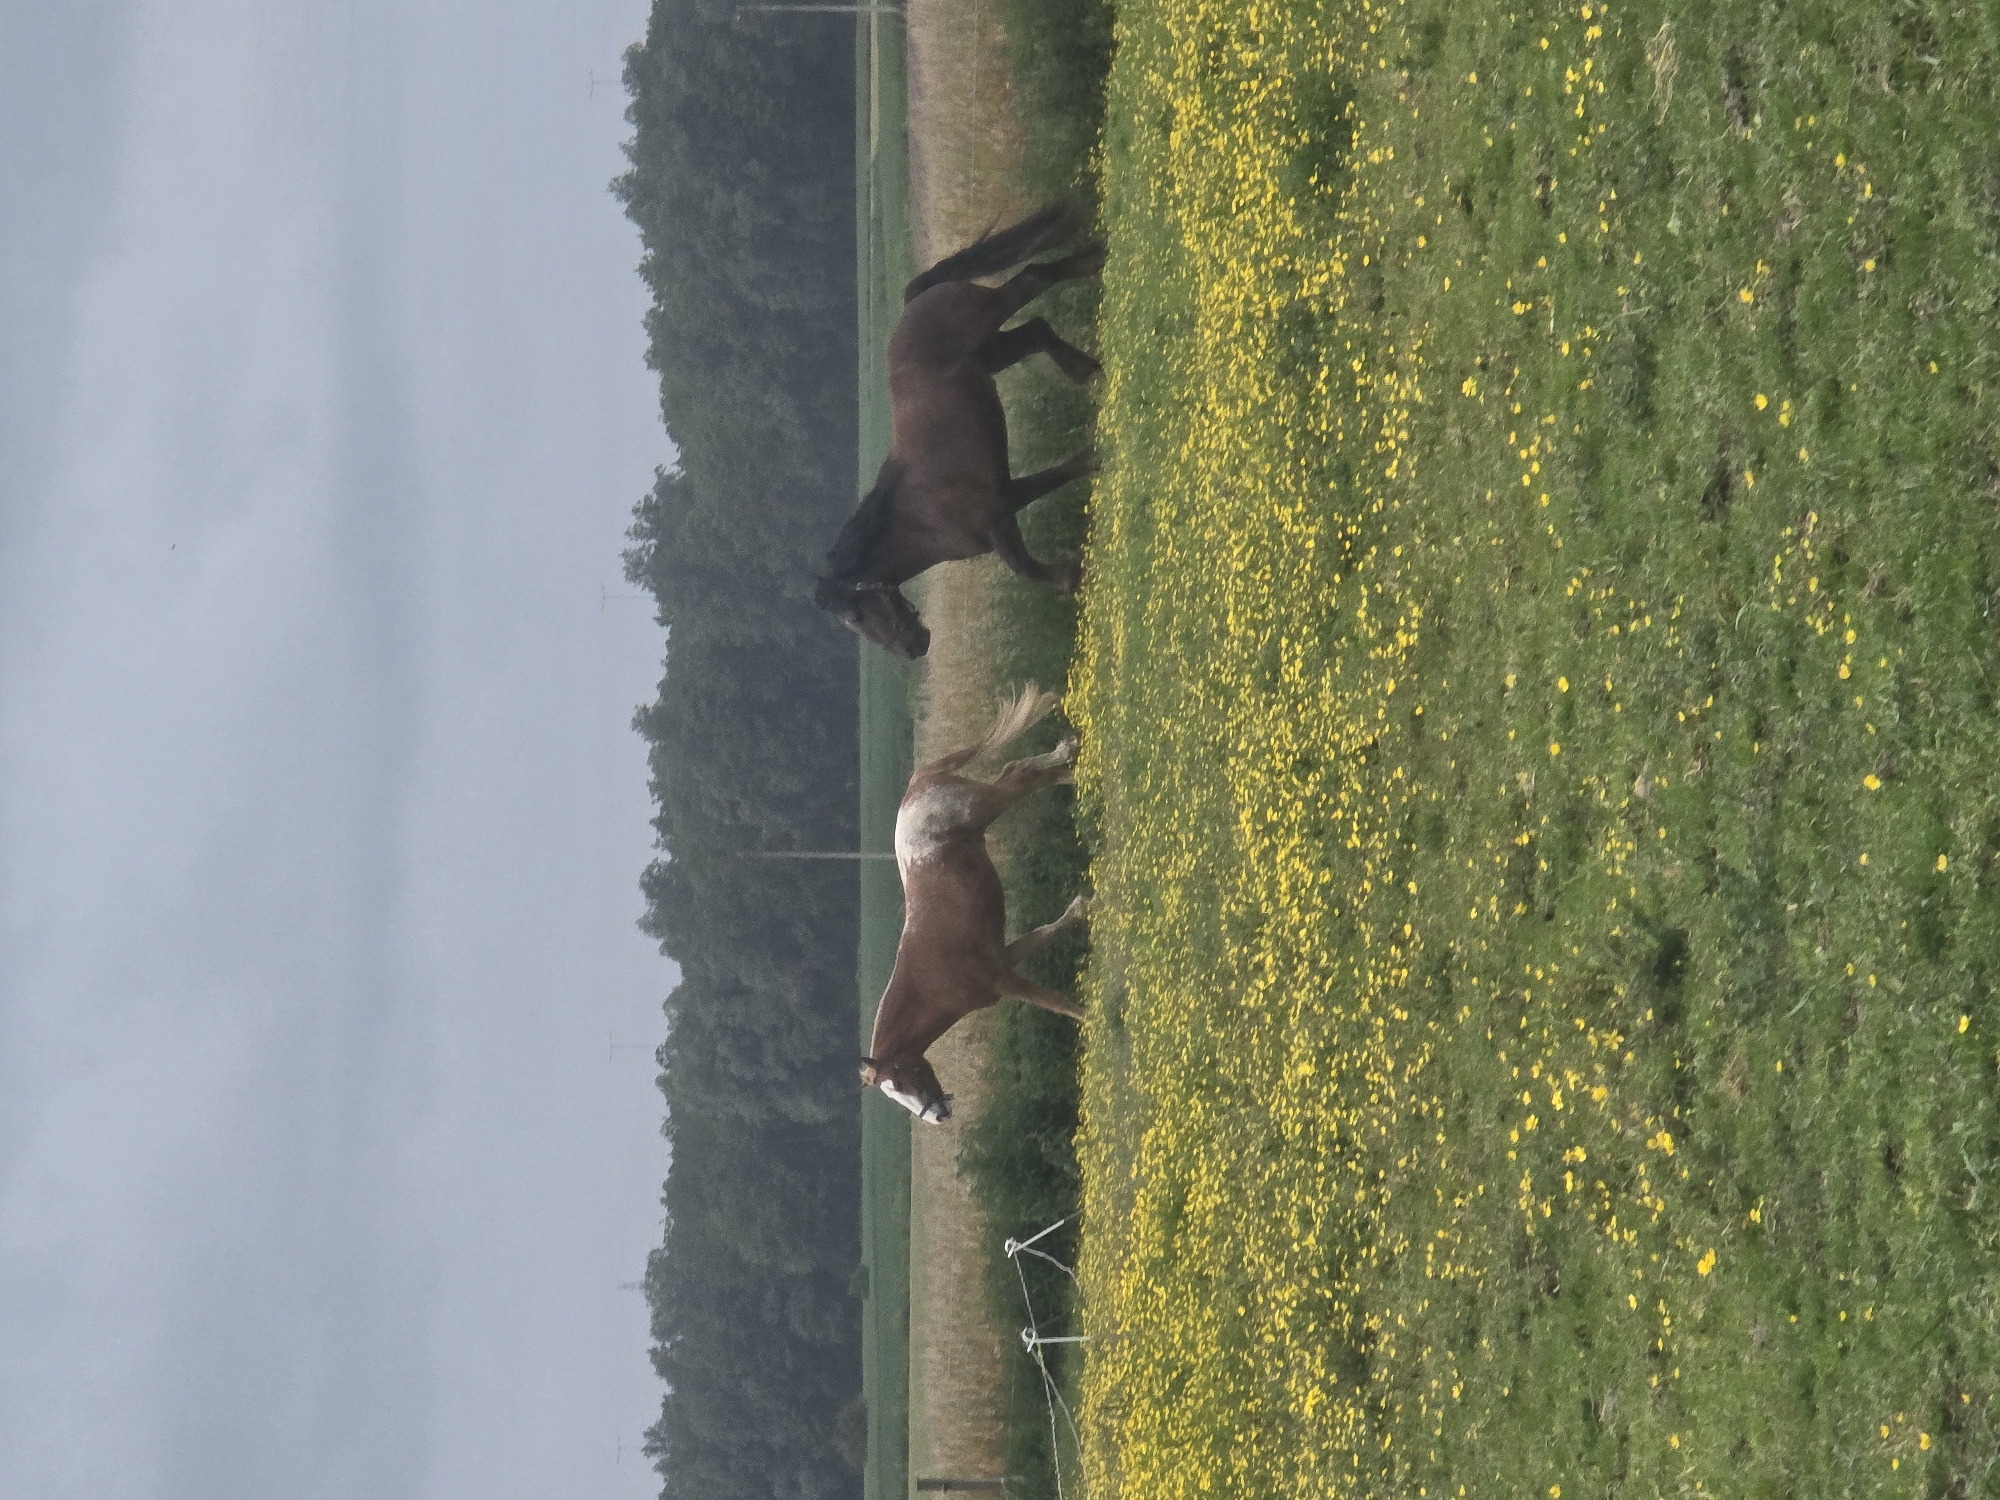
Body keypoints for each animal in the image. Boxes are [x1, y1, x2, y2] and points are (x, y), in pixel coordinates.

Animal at [815, 201, 1107, 659]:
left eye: (855, 617)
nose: (912, 648)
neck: (919, 517)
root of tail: (913, 300)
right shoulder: (1007, 497)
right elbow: (1050, 486)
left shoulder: (997, 517)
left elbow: (1024, 566)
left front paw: (1069, 576)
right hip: (992, 353)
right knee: (1037, 330)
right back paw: (1089, 371)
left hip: (990, 319)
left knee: (1033, 278)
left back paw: (1094, 261)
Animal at [861, 685, 1090, 1122]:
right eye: (895, 1093)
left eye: (901, 1079)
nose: (937, 1116)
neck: (934, 977)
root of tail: (918, 785)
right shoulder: (1006, 957)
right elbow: (1046, 932)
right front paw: (1084, 906)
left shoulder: (1004, 980)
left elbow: (1062, 1006)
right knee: (1024, 773)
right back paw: (1073, 764)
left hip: (987, 804)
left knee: (1019, 773)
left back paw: (1070, 759)